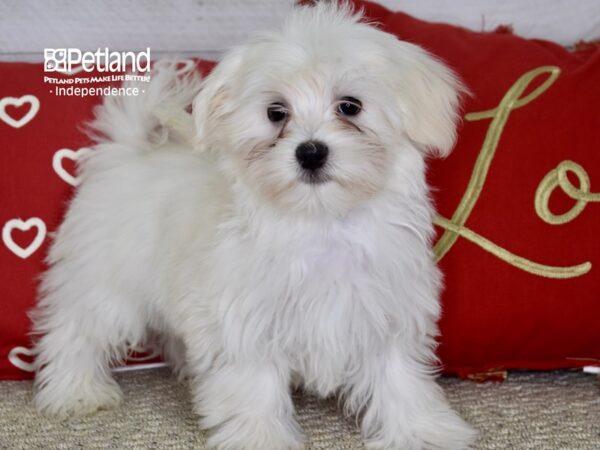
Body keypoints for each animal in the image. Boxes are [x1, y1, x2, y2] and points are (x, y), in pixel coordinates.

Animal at [31, 1, 478, 448]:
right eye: (275, 113)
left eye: (350, 106)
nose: (310, 152)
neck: (320, 222)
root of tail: (129, 150)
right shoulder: (246, 321)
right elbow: (254, 384)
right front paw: (260, 436)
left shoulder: (388, 312)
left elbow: (399, 377)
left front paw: (422, 432)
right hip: (104, 281)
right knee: (76, 331)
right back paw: (76, 391)